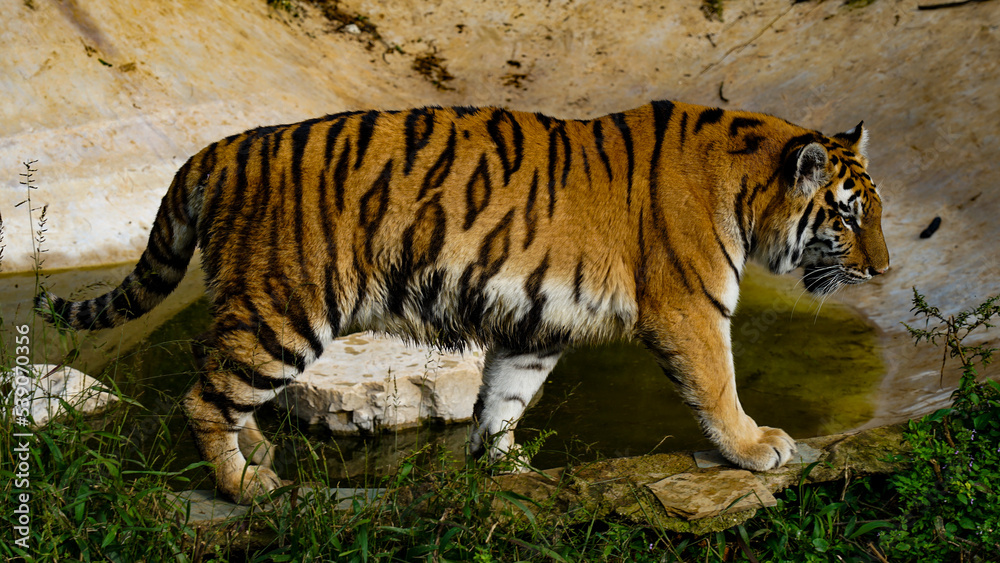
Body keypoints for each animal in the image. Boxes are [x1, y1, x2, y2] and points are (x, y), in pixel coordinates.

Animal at [36, 100, 890, 504]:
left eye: (872, 213)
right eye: (848, 218)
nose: (884, 269)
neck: (748, 189)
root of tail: (219, 146)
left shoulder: (537, 323)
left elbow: (504, 396)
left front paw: (503, 463)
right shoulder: (691, 309)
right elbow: (718, 386)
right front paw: (755, 446)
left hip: (253, 301)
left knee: (210, 370)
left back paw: (259, 455)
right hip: (285, 308)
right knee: (204, 393)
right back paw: (243, 484)